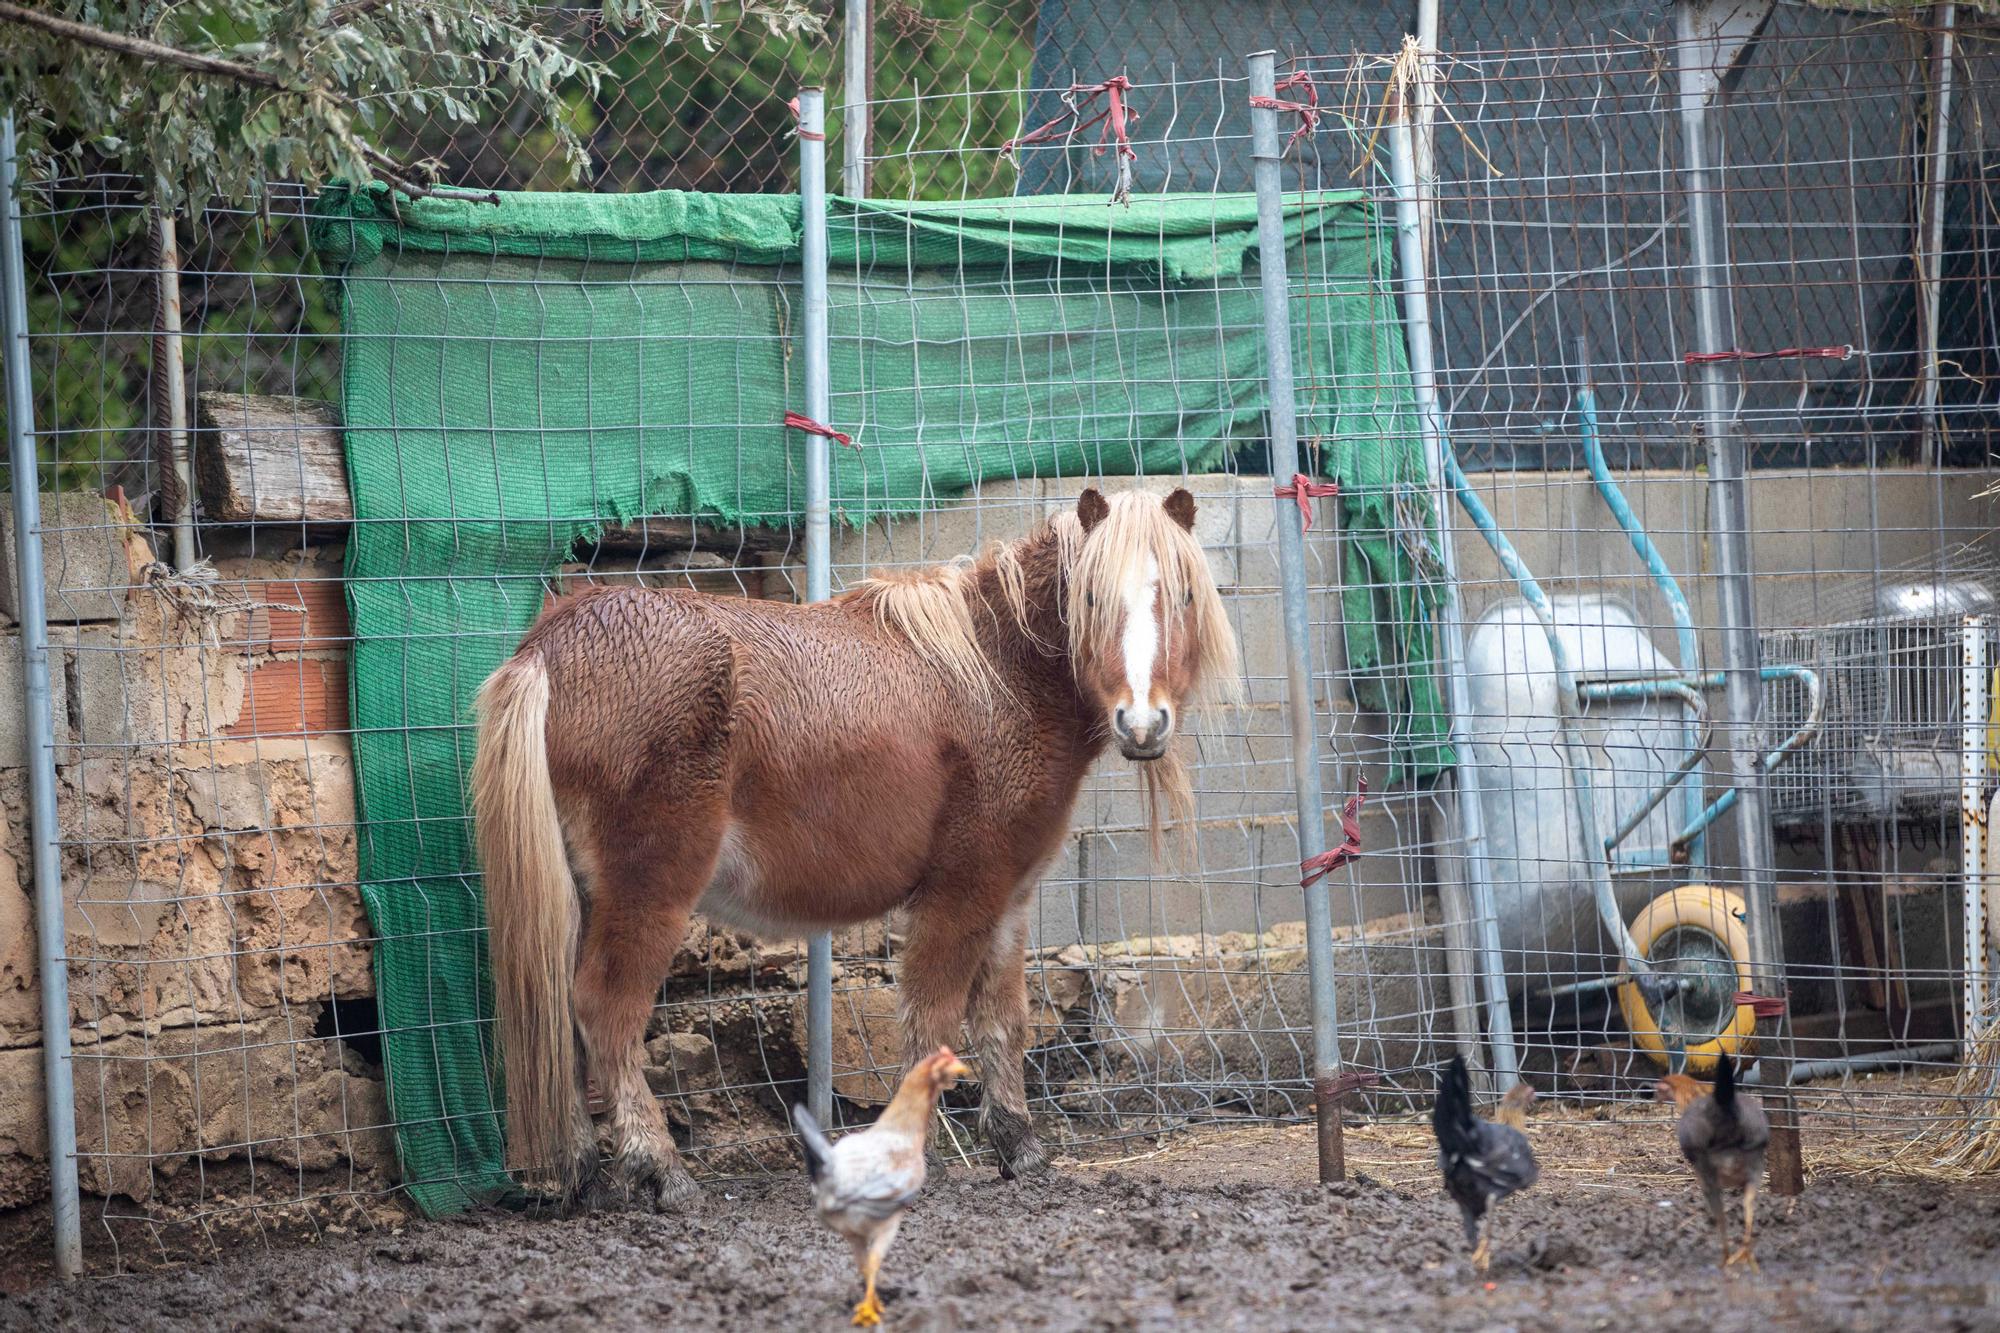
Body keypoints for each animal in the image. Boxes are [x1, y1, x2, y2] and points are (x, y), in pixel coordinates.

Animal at [476, 486, 1240, 1200]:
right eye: (1090, 597)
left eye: (1184, 595)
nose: (1142, 724)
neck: (1001, 675)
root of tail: (554, 643)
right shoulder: (961, 894)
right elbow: (932, 1018)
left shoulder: (1009, 899)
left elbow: (1004, 1020)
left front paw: (1019, 1145)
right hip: (651, 892)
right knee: (605, 1012)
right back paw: (662, 1170)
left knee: (562, 1017)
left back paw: (587, 1173)